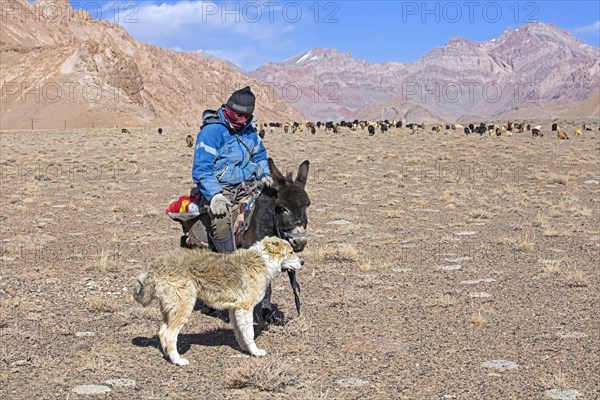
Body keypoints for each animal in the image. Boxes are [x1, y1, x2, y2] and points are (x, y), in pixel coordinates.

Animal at [133, 238, 302, 366]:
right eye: (291, 252)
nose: (303, 262)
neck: (263, 261)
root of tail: (157, 266)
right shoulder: (245, 308)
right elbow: (250, 334)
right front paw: (255, 352)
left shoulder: (235, 309)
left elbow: (240, 333)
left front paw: (245, 350)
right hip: (184, 308)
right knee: (169, 335)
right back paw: (178, 361)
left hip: (170, 310)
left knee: (161, 332)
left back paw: (168, 356)